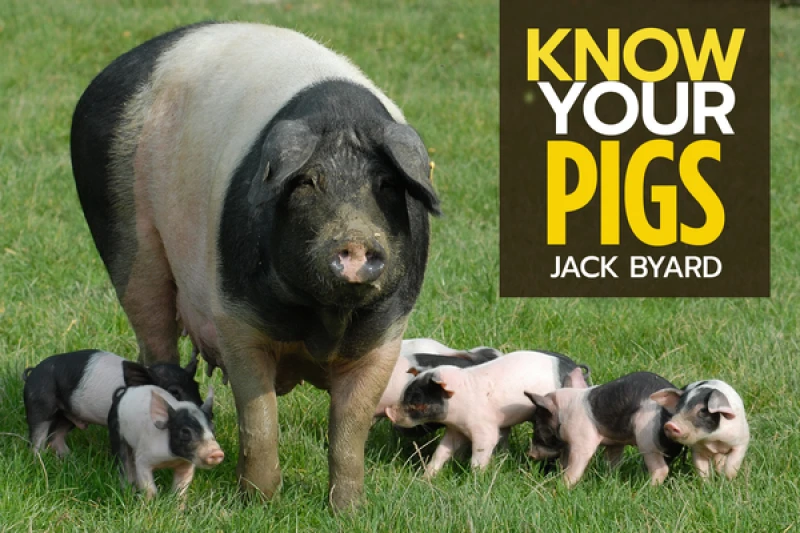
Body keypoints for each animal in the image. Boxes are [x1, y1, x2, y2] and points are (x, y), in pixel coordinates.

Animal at [22, 349, 201, 456]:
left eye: (197, 386)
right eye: (174, 392)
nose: (202, 411)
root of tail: (32, 373)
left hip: (67, 414)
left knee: (56, 436)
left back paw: (69, 459)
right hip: (39, 404)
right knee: (37, 436)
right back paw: (38, 461)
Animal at [70, 22, 439, 509]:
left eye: (387, 184)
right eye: (306, 183)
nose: (356, 242)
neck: (322, 320)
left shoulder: (386, 334)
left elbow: (349, 428)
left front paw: (349, 511)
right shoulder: (235, 317)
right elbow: (259, 417)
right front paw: (259, 503)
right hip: (124, 238)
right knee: (154, 334)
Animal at [384, 350, 589, 478]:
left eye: (417, 402)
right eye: (404, 394)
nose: (389, 413)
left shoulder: (484, 428)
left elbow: (482, 451)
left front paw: (475, 479)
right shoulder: (455, 430)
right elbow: (441, 451)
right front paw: (426, 477)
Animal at [525, 371, 685, 488]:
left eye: (538, 426)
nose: (531, 455)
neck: (563, 413)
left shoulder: (582, 440)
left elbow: (576, 464)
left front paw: (562, 486)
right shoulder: (615, 443)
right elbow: (612, 462)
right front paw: (609, 479)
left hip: (647, 437)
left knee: (661, 469)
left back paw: (646, 489)